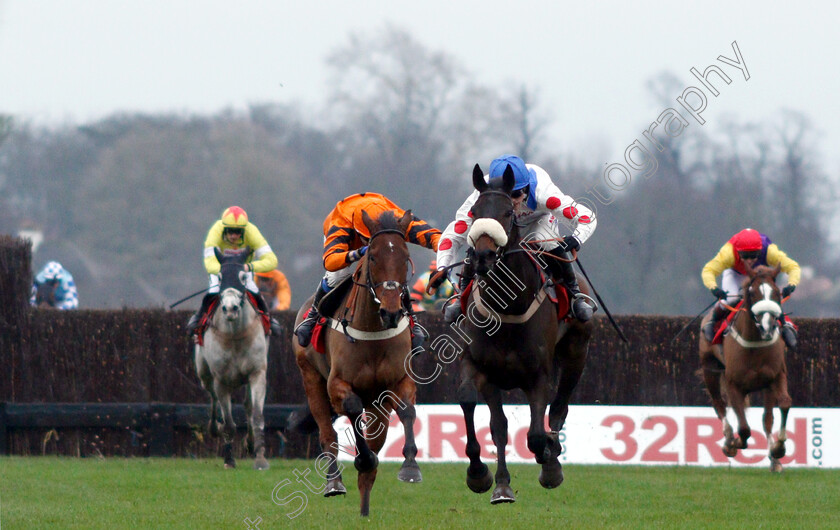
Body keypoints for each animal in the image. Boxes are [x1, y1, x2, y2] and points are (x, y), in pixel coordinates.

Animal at [194, 245, 268, 468]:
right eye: (219, 276)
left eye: (243, 276)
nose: (230, 309)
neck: (235, 335)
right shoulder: (221, 380)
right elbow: (228, 422)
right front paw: (229, 458)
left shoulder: (257, 373)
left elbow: (257, 415)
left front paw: (260, 457)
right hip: (203, 373)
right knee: (212, 398)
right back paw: (213, 427)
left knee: (247, 405)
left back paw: (251, 443)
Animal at [294, 208, 424, 512]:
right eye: (373, 256)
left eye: (405, 256)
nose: (391, 311)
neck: (373, 330)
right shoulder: (336, 383)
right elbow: (351, 409)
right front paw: (361, 459)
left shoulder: (399, 380)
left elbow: (407, 411)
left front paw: (410, 467)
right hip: (310, 378)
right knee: (328, 434)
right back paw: (334, 482)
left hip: (377, 403)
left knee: (378, 437)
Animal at [456, 163, 592, 502]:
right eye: (475, 212)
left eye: (507, 212)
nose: (482, 257)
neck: (507, 308)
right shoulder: (481, 369)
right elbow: (490, 421)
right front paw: (488, 478)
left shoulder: (538, 376)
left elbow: (535, 435)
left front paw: (550, 461)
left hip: (576, 353)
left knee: (559, 409)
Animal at [700, 264, 792, 470]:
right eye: (752, 293)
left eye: (777, 292)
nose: (767, 326)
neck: (755, 342)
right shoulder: (733, 384)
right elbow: (743, 428)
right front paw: (735, 443)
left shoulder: (776, 376)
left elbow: (783, 405)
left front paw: (778, 449)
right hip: (709, 368)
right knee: (719, 403)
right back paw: (728, 440)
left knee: (767, 419)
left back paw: (774, 460)